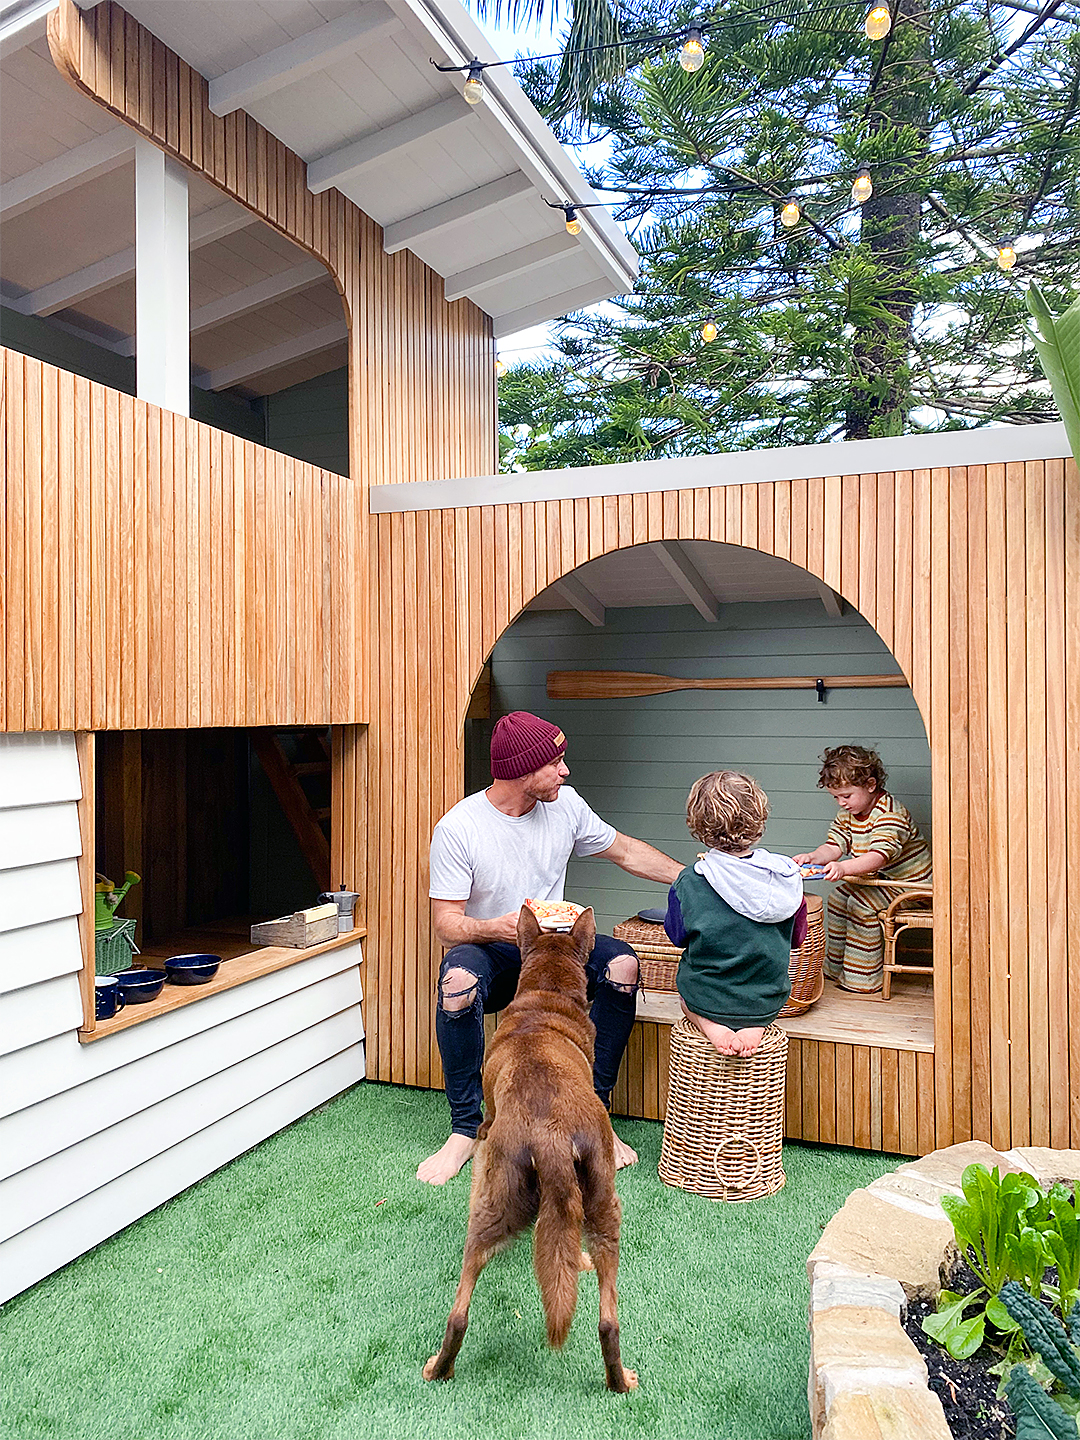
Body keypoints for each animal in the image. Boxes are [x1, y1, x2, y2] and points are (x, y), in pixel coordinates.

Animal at [423, 904, 639, 1388]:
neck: (545, 998)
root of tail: (552, 1134)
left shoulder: (486, 1128)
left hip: (490, 1198)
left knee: (459, 1311)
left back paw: (437, 1368)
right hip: (603, 1205)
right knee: (607, 1320)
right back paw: (620, 1381)